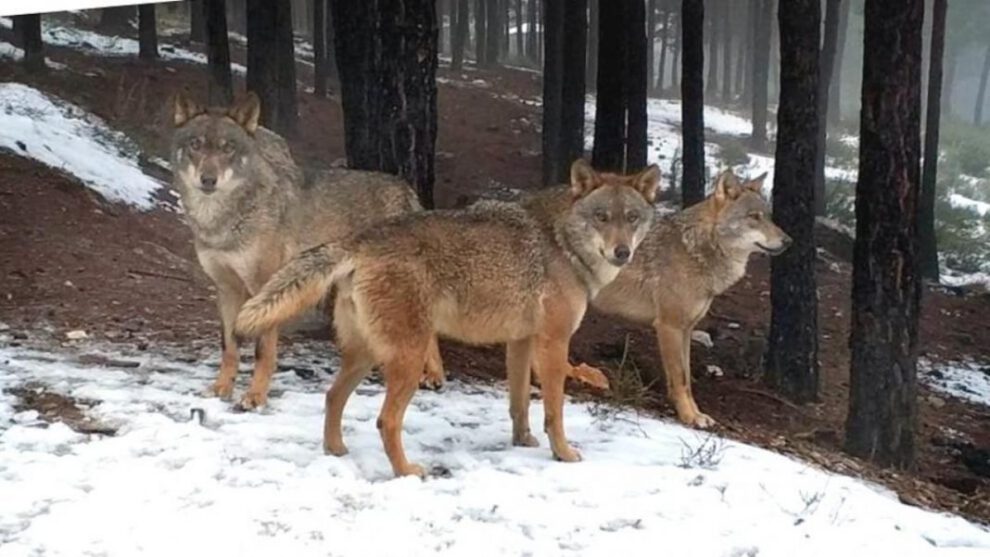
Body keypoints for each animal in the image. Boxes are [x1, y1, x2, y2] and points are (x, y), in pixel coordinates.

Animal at [170, 92, 433, 411]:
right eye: (195, 145)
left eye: (228, 148)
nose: (208, 180)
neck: (223, 222)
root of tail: (405, 188)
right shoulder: (226, 290)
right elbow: (229, 347)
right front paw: (222, 388)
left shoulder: (263, 290)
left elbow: (262, 352)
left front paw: (255, 396)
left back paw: (430, 377)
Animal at [234, 160, 659, 477]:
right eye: (601, 217)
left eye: (632, 218)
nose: (622, 252)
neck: (562, 242)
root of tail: (360, 239)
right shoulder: (554, 344)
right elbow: (554, 410)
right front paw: (563, 453)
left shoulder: (520, 342)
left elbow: (519, 402)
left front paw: (522, 442)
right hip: (408, 359)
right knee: (386, 421)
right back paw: (406, 472)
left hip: (366, 355)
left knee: (332, 396)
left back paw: (336, 451)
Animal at [590, 170, 791, 428]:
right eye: (754, 217)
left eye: (768, 217)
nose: (788, 241)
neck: (696, 250)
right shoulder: (669, 327)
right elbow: (680, 379)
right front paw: (687, 417)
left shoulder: (686, 330)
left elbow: (687, 381)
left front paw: (697, 414)